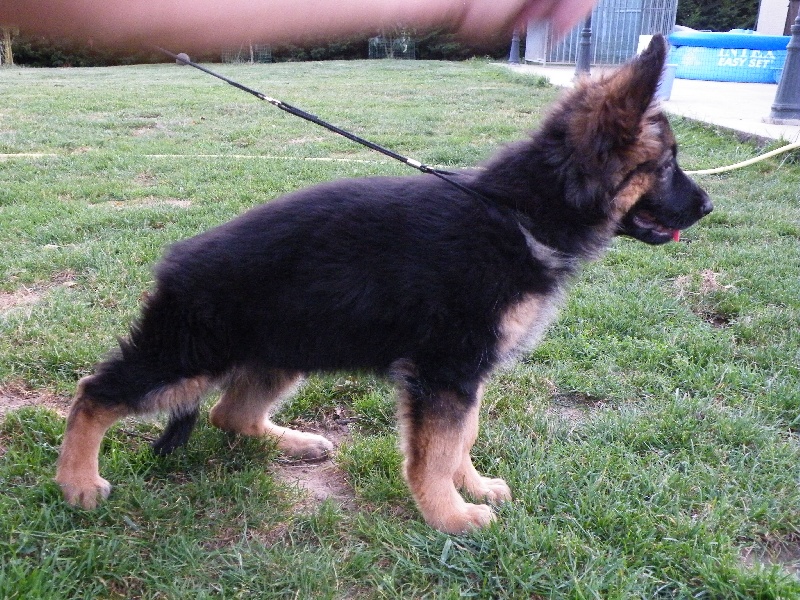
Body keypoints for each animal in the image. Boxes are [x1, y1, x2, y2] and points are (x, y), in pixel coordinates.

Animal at [56, 36, 708, 536]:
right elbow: (436, 451)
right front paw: (450, 515)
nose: (707, 205)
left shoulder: (463, 375)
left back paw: (293, 442)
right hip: (190, 356)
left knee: (228, 415)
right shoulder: (444, 371)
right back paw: (77, 483)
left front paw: (471, 486)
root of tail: (175, 265)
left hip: (281, 352)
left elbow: (462, 437)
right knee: (95, 393)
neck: (518, 213)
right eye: (668, 166)